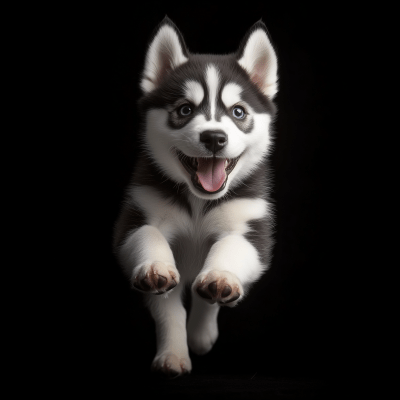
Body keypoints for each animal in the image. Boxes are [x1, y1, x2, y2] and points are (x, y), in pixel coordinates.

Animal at [113, 16, 278, 378]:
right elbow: (162, 287)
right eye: (185, 110)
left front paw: (221, 278)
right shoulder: (137, 214)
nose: (214, 137)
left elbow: (230, 248)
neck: (198, 201)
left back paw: (204, 328)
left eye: (238, 112)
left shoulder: (251, 228)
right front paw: (173, 355)